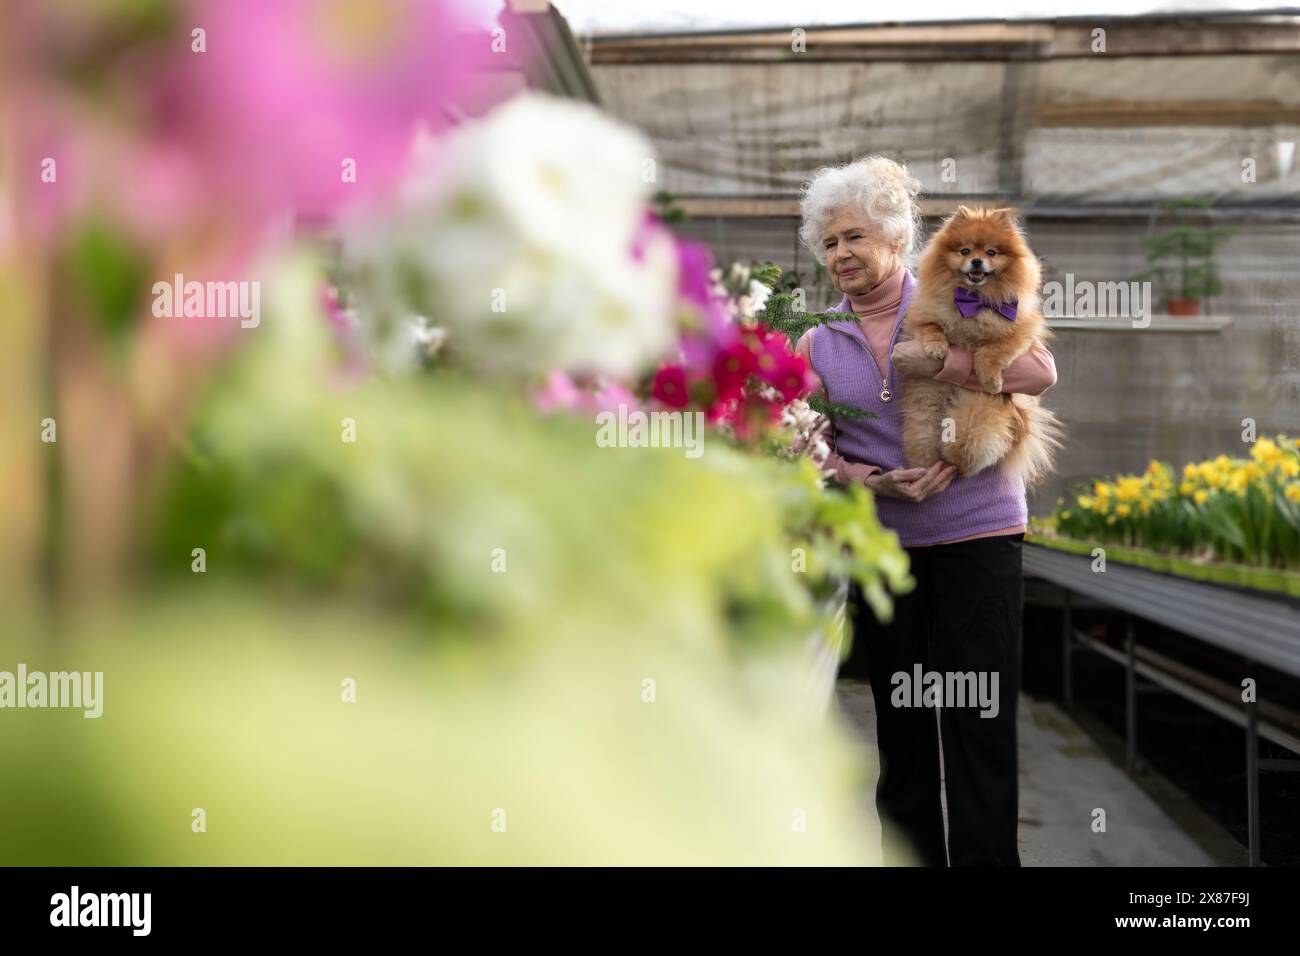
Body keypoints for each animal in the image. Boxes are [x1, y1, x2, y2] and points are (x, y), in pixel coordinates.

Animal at [899, 204, 1060, 481]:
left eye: (991, 252)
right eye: (965, 251)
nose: (976, 260)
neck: (975, 299)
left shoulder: (1019, 332)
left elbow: (990, 351)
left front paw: (991, 379)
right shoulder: (921, 316)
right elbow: (932, 327)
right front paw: (936, 346)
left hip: (980, 418)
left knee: (968, 445)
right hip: (924, 412)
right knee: (923, 439)